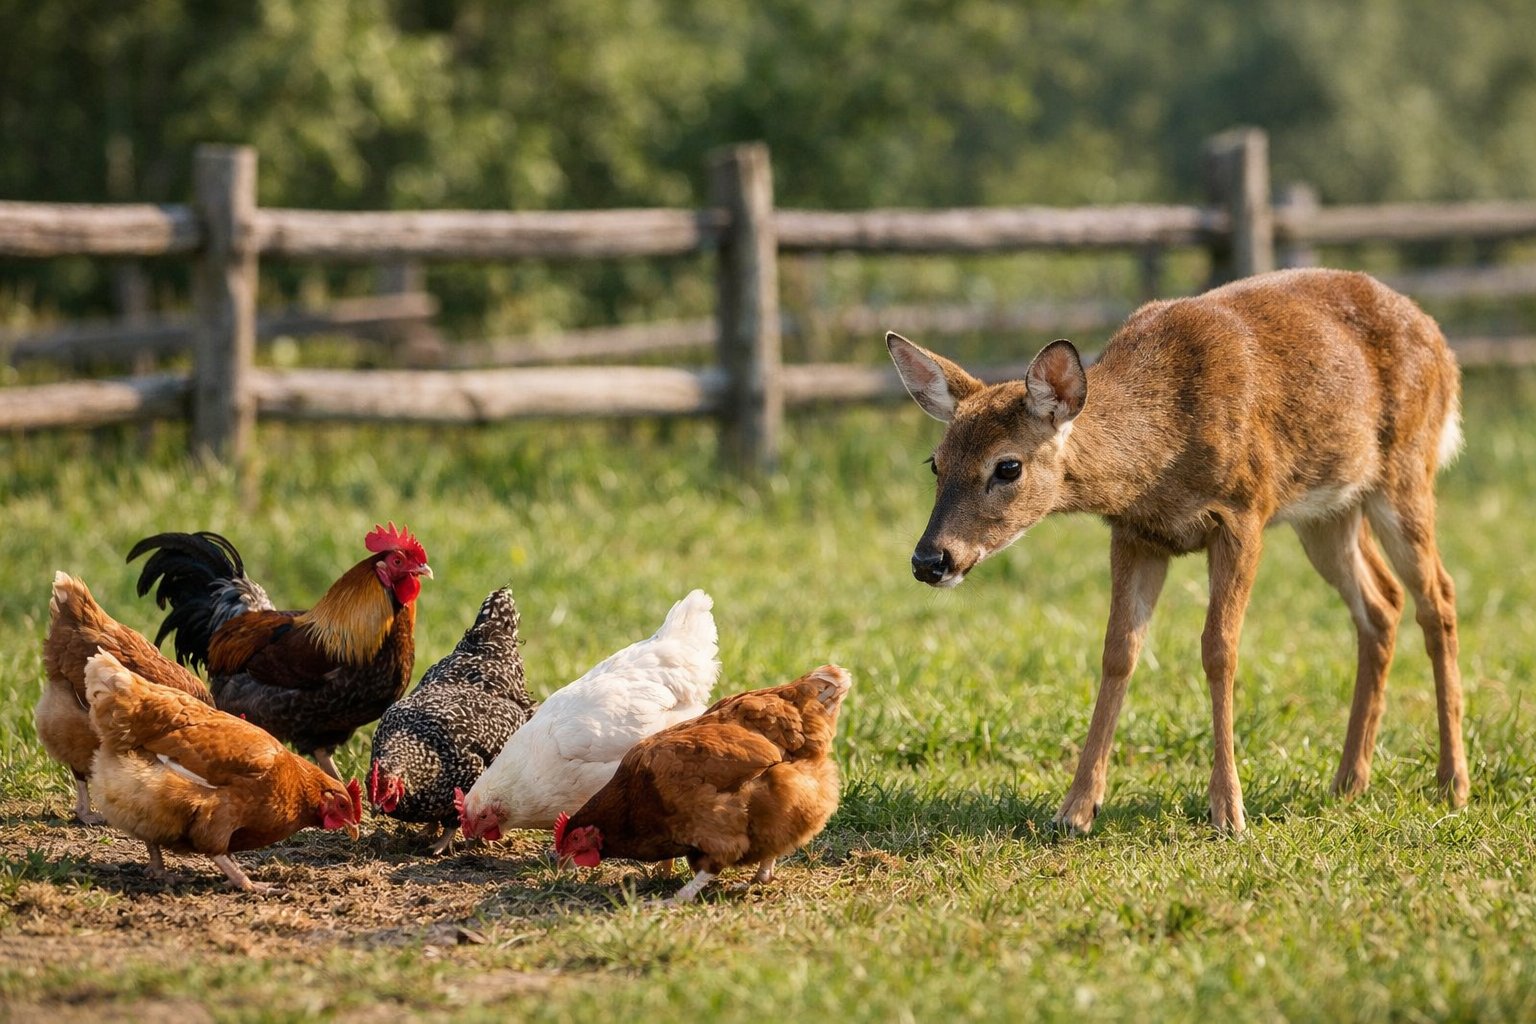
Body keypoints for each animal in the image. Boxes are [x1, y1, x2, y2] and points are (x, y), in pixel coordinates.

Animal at [886, 267, 1469, 834]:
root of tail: (1440, 339)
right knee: (1382, 602)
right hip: (1328, 510)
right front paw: (1076, 809)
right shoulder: (1134, 533)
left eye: (1007, 466)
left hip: (1406, 470)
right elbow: (1118, 650)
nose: (929, 560)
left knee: (1438, 595)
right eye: (935, 463)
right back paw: (1349, 780)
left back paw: (1452, 782)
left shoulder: (1244, 511)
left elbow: (1220, 649)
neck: (1161, 449)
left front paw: (1228, 812)